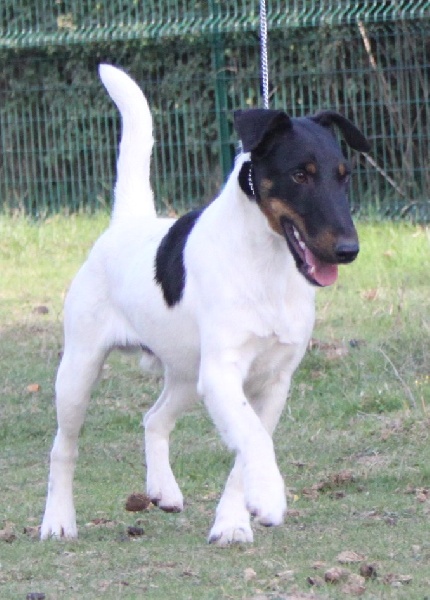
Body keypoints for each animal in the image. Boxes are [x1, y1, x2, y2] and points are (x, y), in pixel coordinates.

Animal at [41, 64, 369, 545]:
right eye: (300, 175)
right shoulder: (222, 373)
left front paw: (233, 522)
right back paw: (58, 520)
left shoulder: (272, 382)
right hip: (79, 371)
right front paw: (269, 495)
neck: (267, 267)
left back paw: (163, 490)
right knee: (63, 447)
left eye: (343, 175)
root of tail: (127, 223)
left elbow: (246, 449)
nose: (348, 250)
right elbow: (254, 438)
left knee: (154, 419)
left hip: (185, 374)